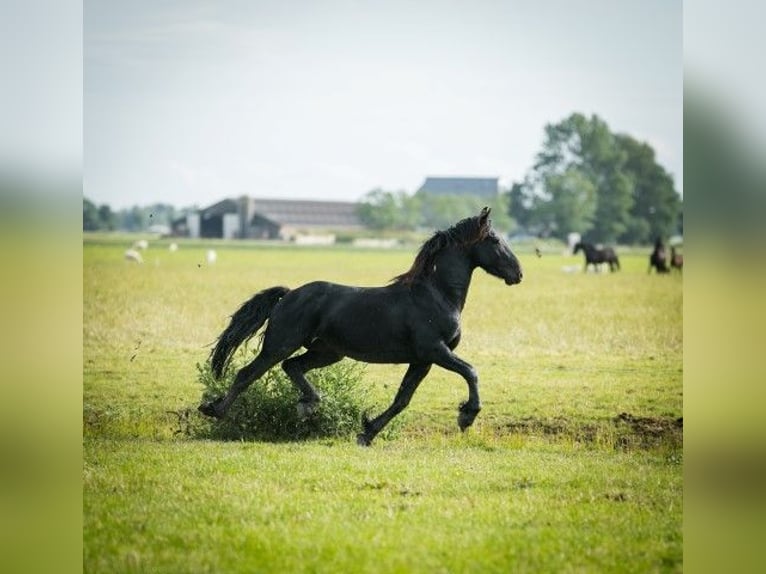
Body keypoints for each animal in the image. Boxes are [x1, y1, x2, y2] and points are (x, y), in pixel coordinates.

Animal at [198, 207, 523, 446]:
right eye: (495, 241)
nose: (518, 273)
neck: (436, 295)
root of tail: (289, 294)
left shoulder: (422, 360)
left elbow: (402, 399)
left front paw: (367, 432)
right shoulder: (435, 350)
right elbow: (471, 371)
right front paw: (466, 416)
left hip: (328, 352)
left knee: (292, 367)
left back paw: (308, 404)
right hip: (281, 343)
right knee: (248, 373)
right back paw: (214, 410)